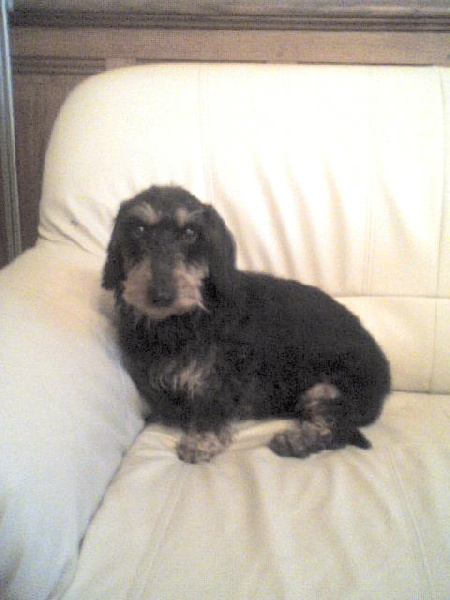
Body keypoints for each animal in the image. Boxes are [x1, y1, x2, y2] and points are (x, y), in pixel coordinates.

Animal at [103, 185, 390, 463]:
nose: (161, 295)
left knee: (335, 428)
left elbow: (211, 409)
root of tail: (385, 375)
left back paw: (296, 441)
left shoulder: (220, 377)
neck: (180, 321)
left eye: (190, 232)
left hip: (326, 390)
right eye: (138, 229)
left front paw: (201, 441)